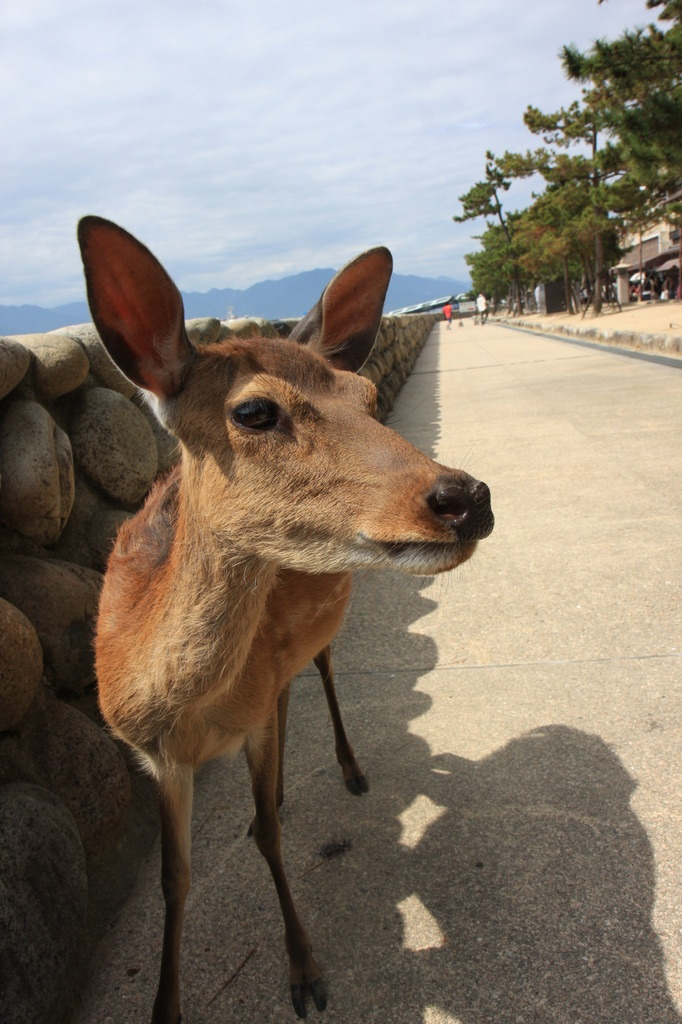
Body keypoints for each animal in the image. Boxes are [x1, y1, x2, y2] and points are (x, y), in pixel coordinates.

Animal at [76, 211, 491, 1019]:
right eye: (253, 410)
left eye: (367, 395)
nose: (466, 497)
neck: (181, 712)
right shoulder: (156, 760)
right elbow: (176, 878)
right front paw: (166, 1005)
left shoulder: (246, 718)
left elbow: (268, 839)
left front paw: (304, 972)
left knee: (320, 672)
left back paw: (350, 769)